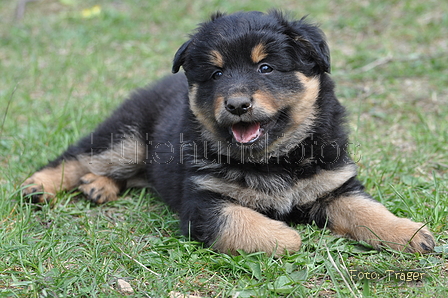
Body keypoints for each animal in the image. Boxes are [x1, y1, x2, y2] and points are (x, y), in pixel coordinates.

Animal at [21, 10, 434, 255]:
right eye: (217, 73)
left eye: (266, 67)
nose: (236, 104)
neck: (275, 158)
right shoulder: (204, 201)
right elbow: (246, 222)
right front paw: (287, 235)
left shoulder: (334, 185)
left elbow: (368, 210)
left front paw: (410, 234)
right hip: (127, 139)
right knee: (78, 157)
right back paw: (38, 186)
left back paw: (98, 186)